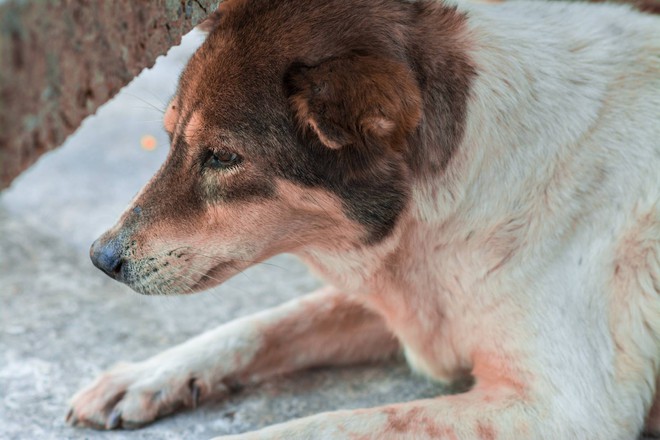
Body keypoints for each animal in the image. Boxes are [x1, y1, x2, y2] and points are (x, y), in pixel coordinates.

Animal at [67, 0, 660, 436]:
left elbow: (310, 427)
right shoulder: (409, 298)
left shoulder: (560, 410)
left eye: (222, 157)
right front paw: (146, 376)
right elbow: (264, 323)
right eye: (169, 138)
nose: (100, 258)